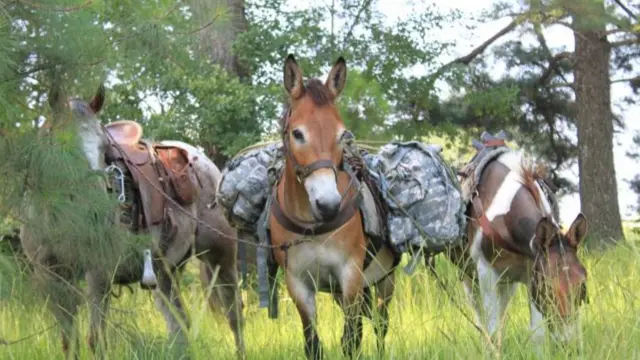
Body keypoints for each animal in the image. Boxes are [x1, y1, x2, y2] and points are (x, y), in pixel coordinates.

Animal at [20, 86, 245, 358]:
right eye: (61, 143)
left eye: (104, 147)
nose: (99, 209)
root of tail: (204, 161)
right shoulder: (50, 275)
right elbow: (68, 342)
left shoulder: (99, 274)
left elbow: (96, 340)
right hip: (165, 272)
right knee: (179, 325)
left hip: (221, 257)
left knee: (234, 316)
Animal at [266, 54, 398, 358]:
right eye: (297, 134)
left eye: (341, 135)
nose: (328, 205)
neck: (313, 225)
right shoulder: (298, 283)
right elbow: (313, 344)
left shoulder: (349, 274)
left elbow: (350, 340)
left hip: (384, 279)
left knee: (380, 324)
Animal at [450, 134, 592, 348]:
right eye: (547, 286)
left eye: (582, 283)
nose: (568, 344)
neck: (504, 219)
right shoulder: (485, 272)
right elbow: (491, 330)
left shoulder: (529, 271)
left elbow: (537, 334)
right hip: (469, 275)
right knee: (481, 316)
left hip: (507, 282)